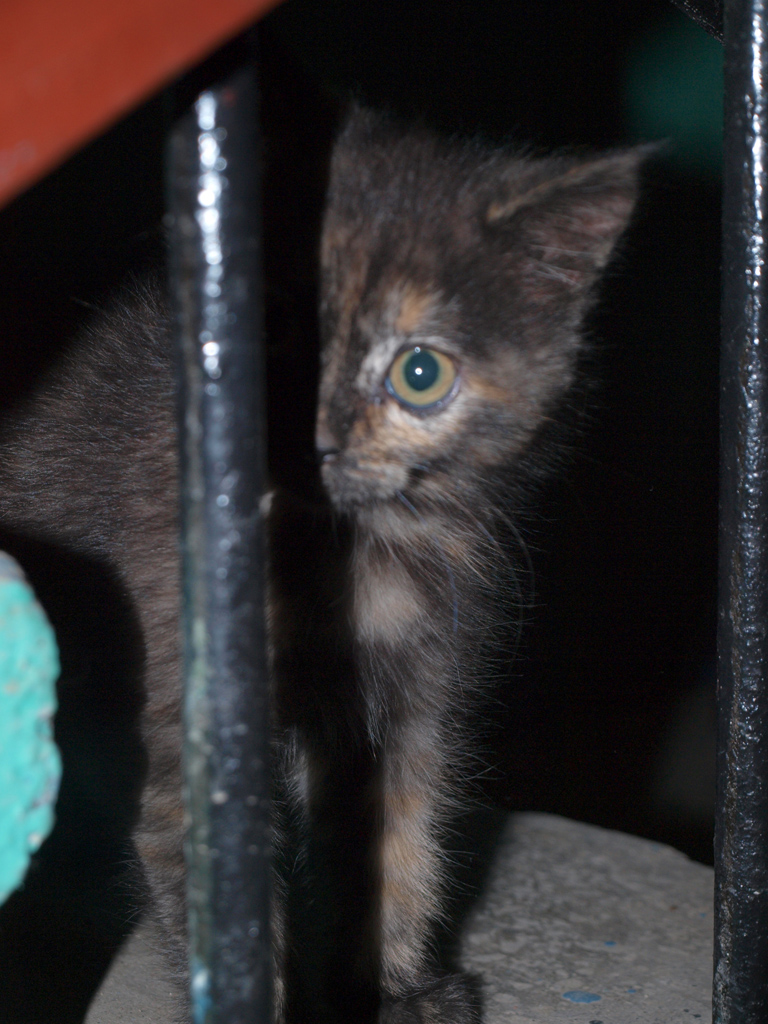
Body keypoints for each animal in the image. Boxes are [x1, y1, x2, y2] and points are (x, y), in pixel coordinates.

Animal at [0, 107, 643, 1023]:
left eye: (420, 373)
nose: (317, 439)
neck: (346, 553)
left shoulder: (422, 694)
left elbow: (402, 841)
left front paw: (398, 988)